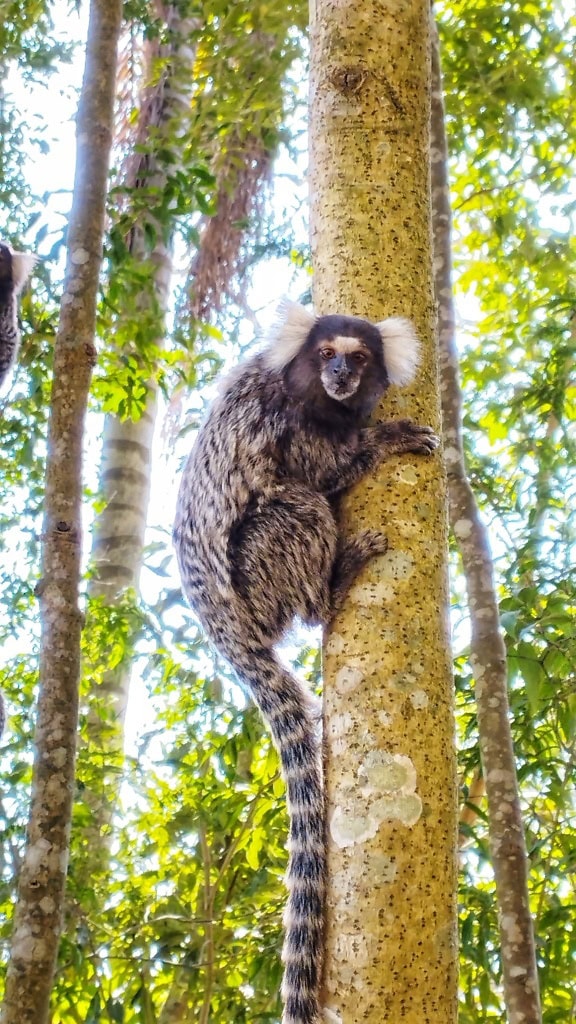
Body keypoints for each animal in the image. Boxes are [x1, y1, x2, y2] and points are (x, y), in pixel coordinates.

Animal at [172, 301, 436, 1024]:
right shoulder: (284, 424)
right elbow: (320, 474)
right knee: (298, 504)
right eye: (325, 355)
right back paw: (333, 589)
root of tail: (227, 631)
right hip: (257, 578)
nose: (342, 374)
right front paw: (385, 440)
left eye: (359, 357)